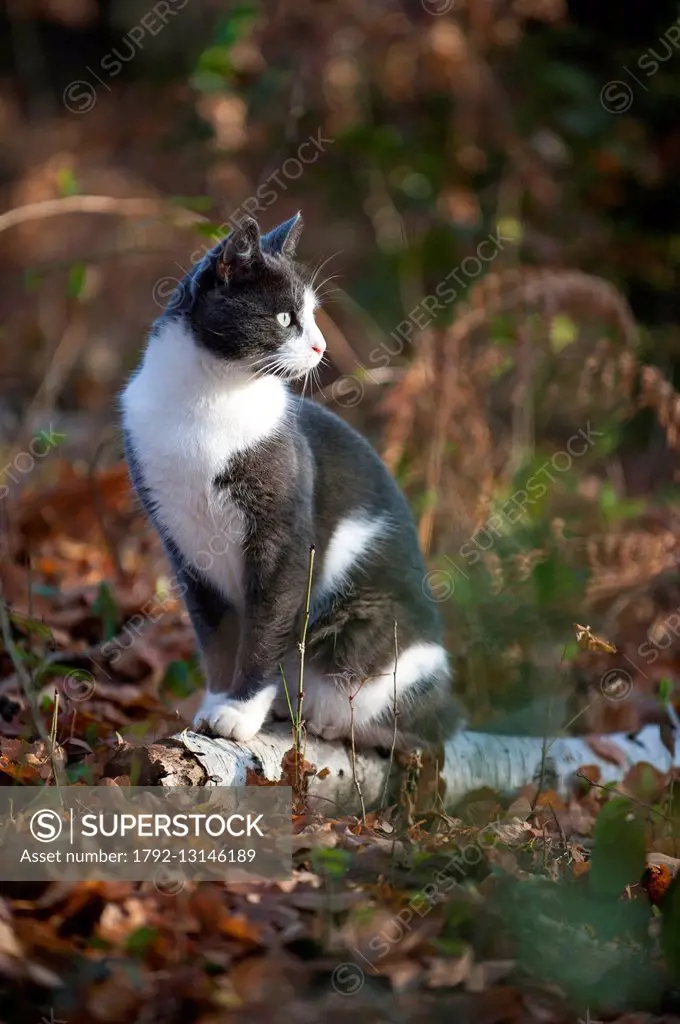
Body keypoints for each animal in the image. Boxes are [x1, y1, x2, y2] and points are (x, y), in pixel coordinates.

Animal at [120, 211, 462, 749]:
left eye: (314, 316)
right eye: (285, 319)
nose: (321, 345)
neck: (209, 398)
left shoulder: (284, 535)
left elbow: (266, 629)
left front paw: (238, 713)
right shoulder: (184, 548)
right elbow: (217, 638)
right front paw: (215, 705)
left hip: (379, 639)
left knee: (422, 726)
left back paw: (329, 721)